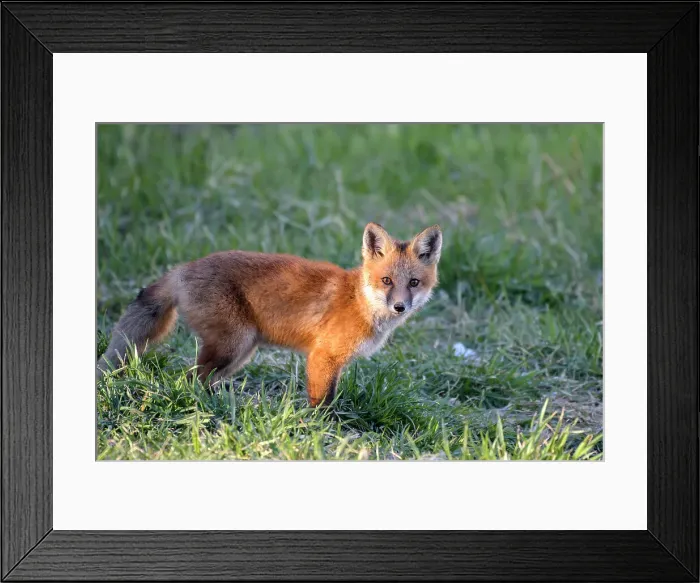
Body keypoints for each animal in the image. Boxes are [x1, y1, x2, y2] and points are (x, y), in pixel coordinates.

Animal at [97, 222, 442, 407]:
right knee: (188, 378)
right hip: (233, 344)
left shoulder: (334, 363)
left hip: (240, 352)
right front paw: (321, 432)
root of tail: (183, 268)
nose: (400, 306)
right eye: (386, 281)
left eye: (413, 283)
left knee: (199, 380)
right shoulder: (323, 356)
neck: (359, 301)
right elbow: (322, 403)